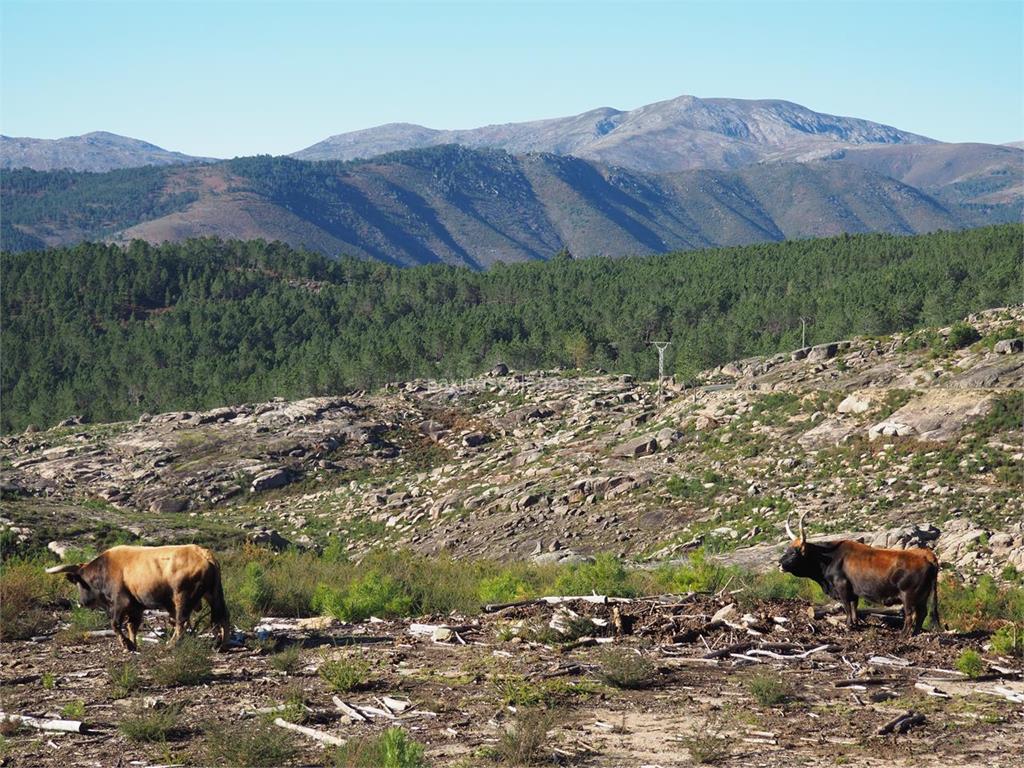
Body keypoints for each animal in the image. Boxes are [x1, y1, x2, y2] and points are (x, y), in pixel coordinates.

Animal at [46, 544, 230, 651]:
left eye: (79, 583)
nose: (82, 603)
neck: (104, 568)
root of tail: (203, 554)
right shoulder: (136, 606)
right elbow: (132, 626)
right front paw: (133, 644)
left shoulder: (120, 602)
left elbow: (115, 624)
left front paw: (126, 644)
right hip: (214, 594)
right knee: (223, 616)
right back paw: (220, 644)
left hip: (182, 597)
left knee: (181, 621)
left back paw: (171, 645)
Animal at [778, 512, 937, 638]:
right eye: (786, 550)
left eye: (794, 553)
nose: (779, 564)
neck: (830, 558)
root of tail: (926, 555)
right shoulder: (853, 590)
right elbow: (854, 606)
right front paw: (855, 623)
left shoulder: (842, 586)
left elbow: (847, 606)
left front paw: (849, 625)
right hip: (922, 596)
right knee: (922, 613)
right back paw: (915, 633)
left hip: (909, 596)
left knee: (910, 615)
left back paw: (903, 634)